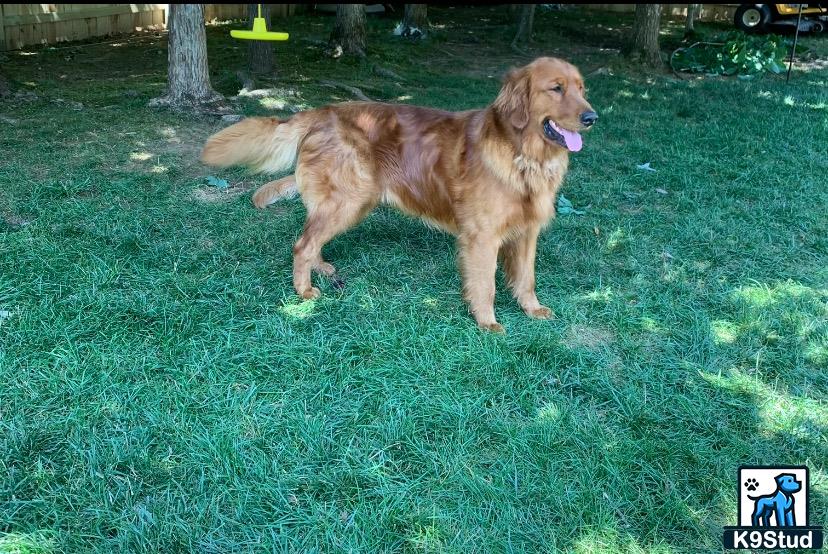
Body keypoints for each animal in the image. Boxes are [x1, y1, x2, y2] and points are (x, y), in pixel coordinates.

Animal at [201, 58, 596, 330]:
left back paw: (321, 268)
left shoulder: (527, 233)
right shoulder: (482, 237)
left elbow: (526, 279)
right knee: (302, 244)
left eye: (581, 89)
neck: (523, 154)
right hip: (348, 201)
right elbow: (485, 285)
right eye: (556, 88)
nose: (592, 117)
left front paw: (531, 309)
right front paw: (487, 323)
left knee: (310, 238)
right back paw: (304, 291)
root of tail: (321, 112)